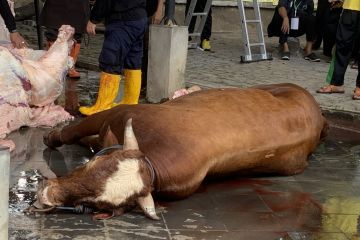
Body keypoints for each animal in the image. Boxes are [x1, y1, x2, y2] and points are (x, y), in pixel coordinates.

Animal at [35, 83, 328, 220]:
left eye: (102, 204)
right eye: (90, 166)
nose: (46, 194)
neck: (153, 163)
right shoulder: (118, 113)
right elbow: (73, 131)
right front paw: (50, 137)